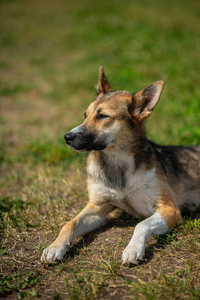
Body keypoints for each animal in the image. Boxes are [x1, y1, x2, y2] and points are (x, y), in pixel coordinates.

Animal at [41, 66, 200, 264]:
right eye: (85, 115)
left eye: (103, 116)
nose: (67, 137)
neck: (118, 163)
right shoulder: (97, 207)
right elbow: (69, 223)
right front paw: (55, 247)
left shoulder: (169, 208)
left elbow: (141, 224)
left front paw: (133, 249)